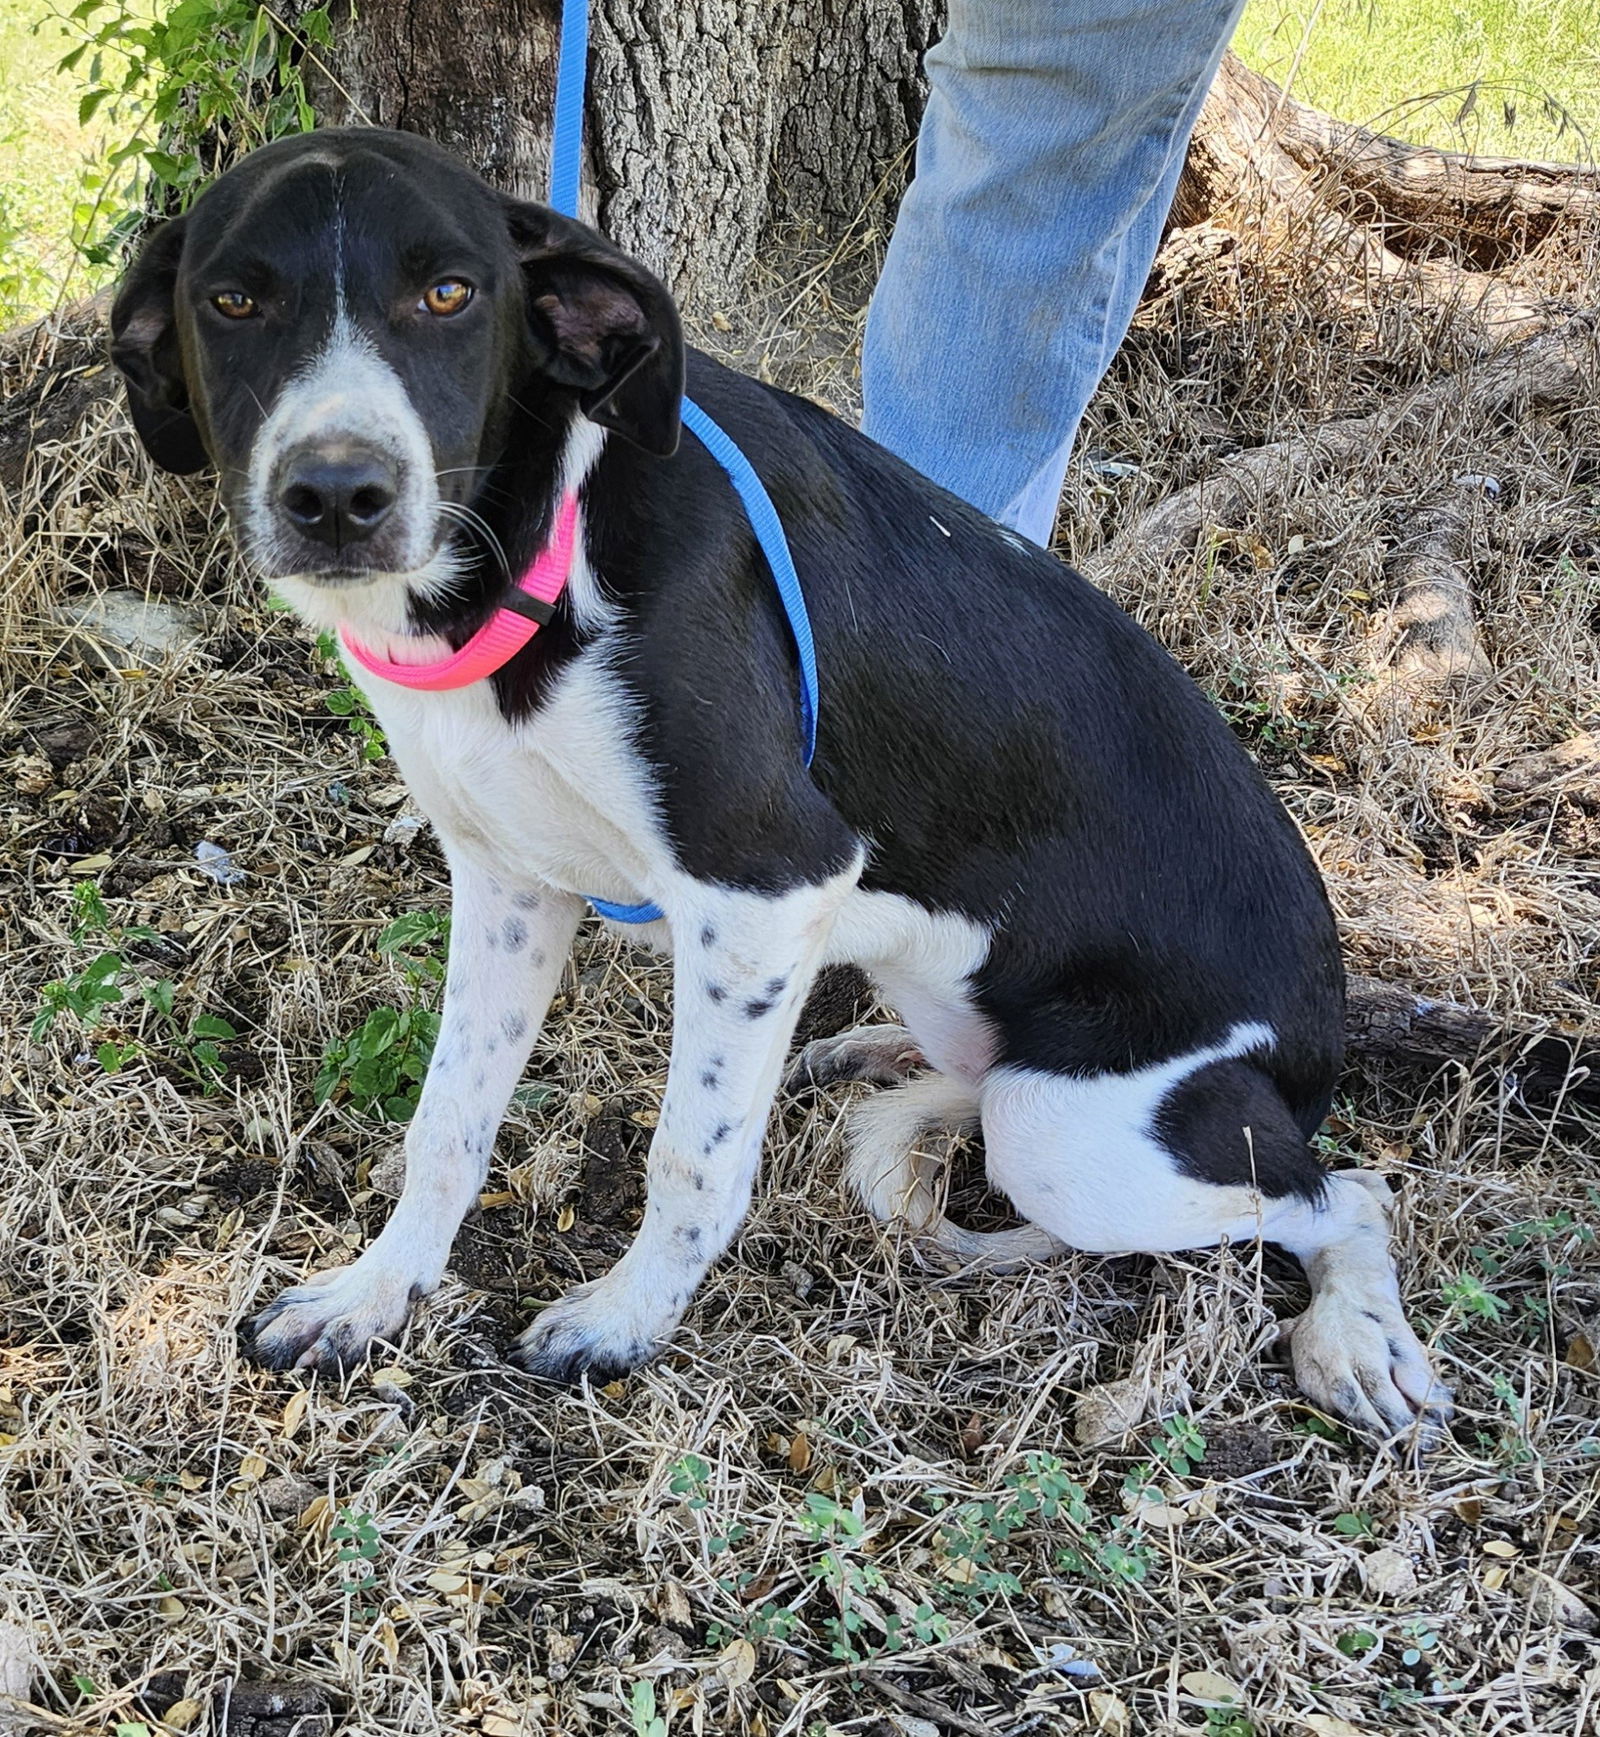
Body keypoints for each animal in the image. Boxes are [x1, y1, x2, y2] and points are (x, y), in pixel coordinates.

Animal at [105, 128, 1445, 1438]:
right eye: (232, 300)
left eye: (448, 294)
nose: (336, 496)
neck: (538, 557)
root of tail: (1316, 1046)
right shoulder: (509, 882)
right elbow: (449, 1120)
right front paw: (377, 1293)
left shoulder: (765, 882)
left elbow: (691, 1157)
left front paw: (627, 1320)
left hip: (1075, 1137)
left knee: (1347, 1192)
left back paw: (1353, 1338)